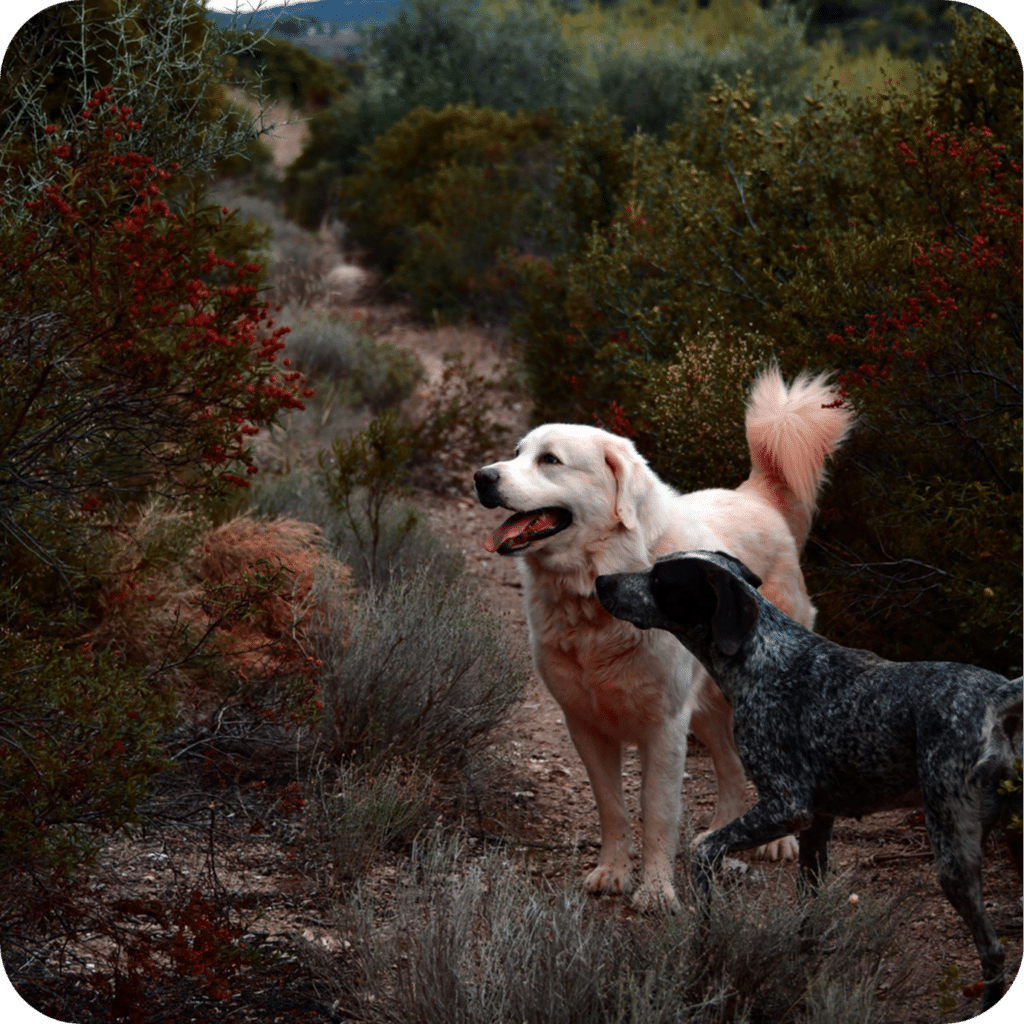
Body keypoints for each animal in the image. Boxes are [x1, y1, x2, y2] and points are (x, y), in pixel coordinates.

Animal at [475, 368, 851, 913]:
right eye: (517, 452)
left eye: (550, 460)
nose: (483, 478)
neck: (597, 594)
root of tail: (755, 495)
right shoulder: (585, 724)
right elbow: (612, 807)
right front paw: (614, 872)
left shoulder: (664, 727)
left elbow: (656, 812)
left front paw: (655, 890)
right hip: (712, 709)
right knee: (731, 769)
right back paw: (720, 837)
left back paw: (777, 841)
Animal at [598, 548, 1019, 1011]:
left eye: (660, 579)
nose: (601, 582)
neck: (762, 656)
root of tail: (999, 696)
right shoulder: (818, 824)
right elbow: (807, 920)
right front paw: (801, 975)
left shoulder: (787, 807)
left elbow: (704, 850)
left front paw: (705, 943)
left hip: (952, 853)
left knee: (993, 951)